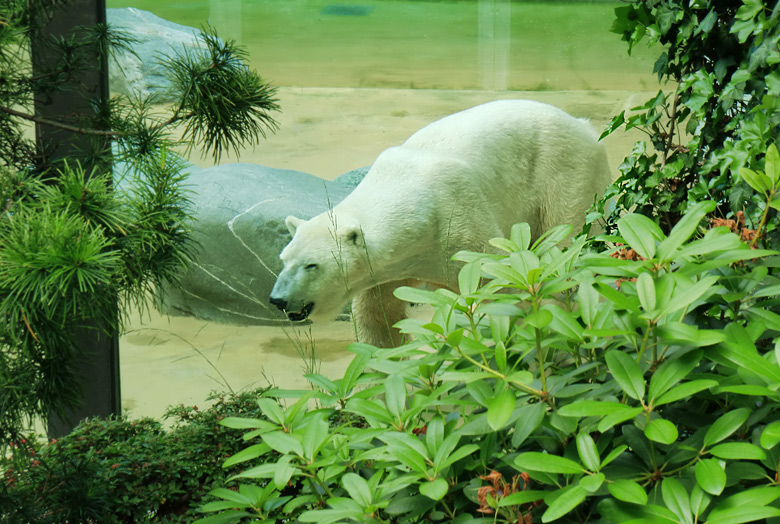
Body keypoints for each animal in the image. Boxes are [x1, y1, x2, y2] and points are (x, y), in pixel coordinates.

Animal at [272, 101, 612, 348]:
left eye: (312, 265)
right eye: (284, 259)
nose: (279, 299)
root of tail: (584, 125)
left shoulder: (458, 218)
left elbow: (499, 284)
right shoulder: (389, 270)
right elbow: (378, 316)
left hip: (566, 173)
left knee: (564, 243)